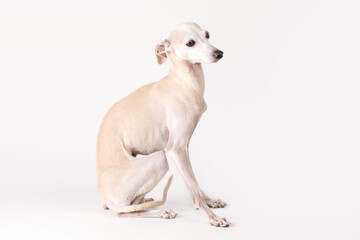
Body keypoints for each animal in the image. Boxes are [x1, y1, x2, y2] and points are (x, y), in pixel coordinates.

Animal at [96, 22, 231, 227]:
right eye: (190, 43)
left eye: (207, 34)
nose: (219, 53)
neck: (185, 83)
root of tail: (104, 193)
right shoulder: (175, 149)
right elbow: (193, 186)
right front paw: (212, 218)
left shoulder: (184, 147)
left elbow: (194, 184)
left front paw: (209, 201)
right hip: (160, 159)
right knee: (123, 211)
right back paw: (161, 211)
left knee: (129, 205)